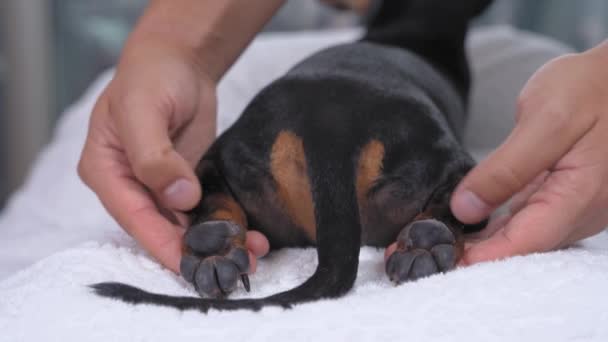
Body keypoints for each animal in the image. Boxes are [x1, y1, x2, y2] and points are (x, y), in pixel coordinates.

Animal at [94, 0, 494, 312]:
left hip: (226, 156)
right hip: (447, 164)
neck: (411, 25)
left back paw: (213, 249)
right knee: (456, 203)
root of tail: (329, 127)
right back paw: (427, 244)